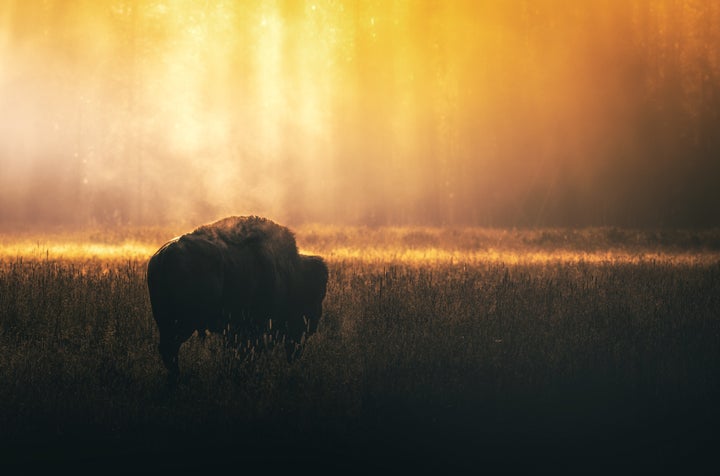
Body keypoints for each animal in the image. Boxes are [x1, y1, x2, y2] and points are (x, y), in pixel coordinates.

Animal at [149, 215, 330, 380]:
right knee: (170, 348)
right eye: (313, 296)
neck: (291, 274)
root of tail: (163, 256)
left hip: (166, 321)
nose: (313, 324)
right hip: (184, 322)